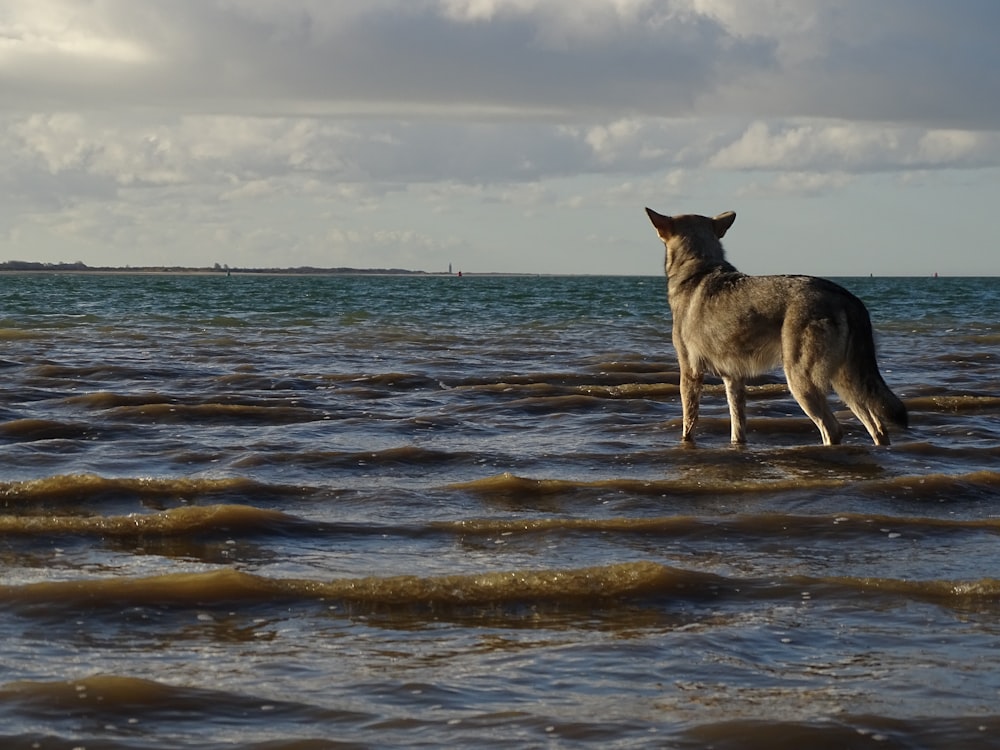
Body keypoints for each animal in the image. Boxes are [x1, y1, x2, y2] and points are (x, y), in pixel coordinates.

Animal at [644, 207, 912, 446]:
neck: (698, 269)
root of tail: (846, 296)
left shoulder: (690, 372)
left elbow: (688, 423)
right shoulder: (733, 378)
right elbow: (737, 426)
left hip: (801, 382)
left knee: (833, 430)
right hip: (846, 385)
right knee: (878, 428)